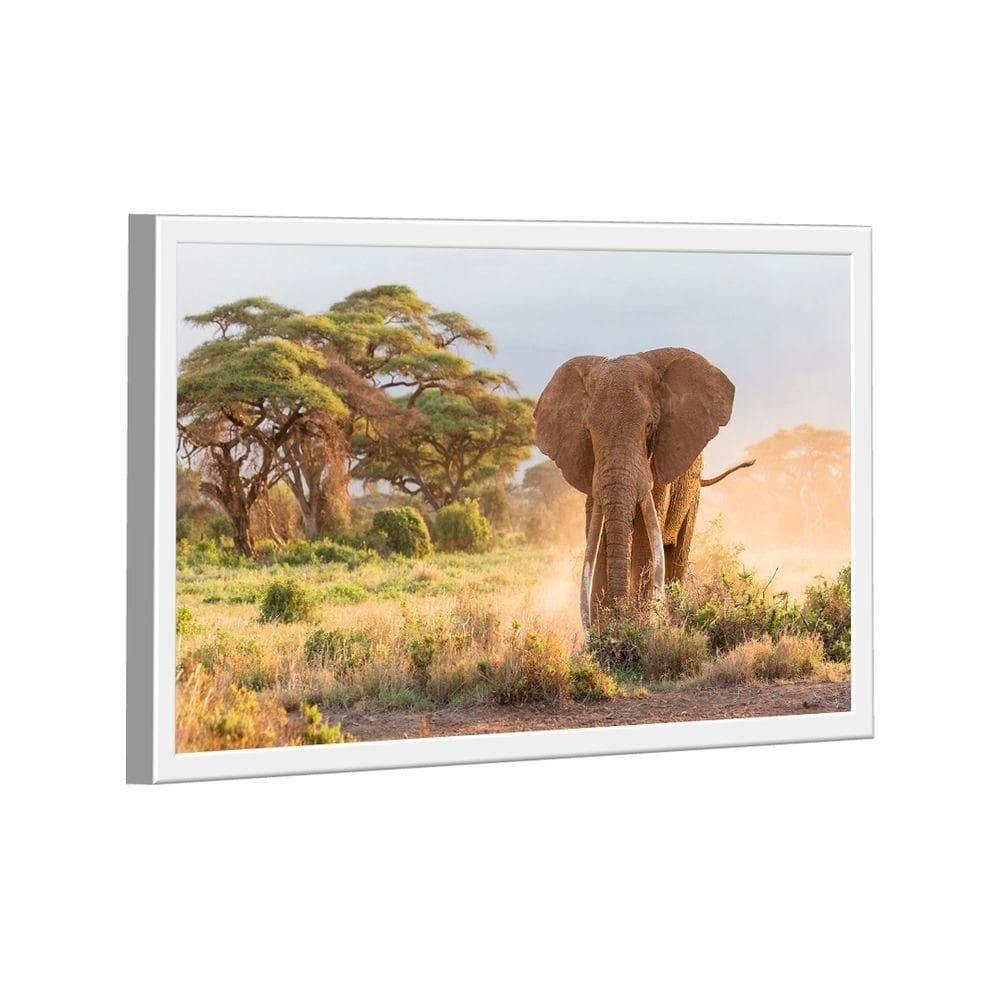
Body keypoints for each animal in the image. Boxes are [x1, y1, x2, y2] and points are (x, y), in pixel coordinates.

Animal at [534, 349, 751, 629]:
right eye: (589, 432)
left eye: (649, 426)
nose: (619, 615)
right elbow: (598, 540)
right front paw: (605, 631)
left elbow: (644, 543)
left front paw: (641, 627)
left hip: (692, 490)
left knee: (678, 553)